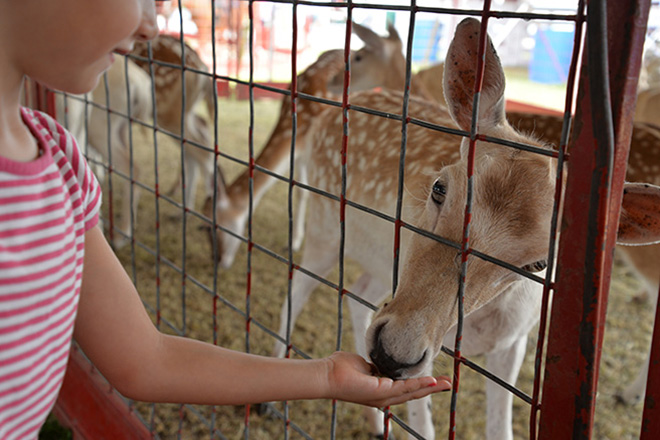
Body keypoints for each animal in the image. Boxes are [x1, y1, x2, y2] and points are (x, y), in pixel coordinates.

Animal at [268, 17, 660, 440]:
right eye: (440, 188)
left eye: (539, 264)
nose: (392, 353)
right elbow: (423, 426)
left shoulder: (514, 341)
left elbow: (500, 427)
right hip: (327, 222)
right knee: (298, 283)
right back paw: (273, 400)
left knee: (360, 295)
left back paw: (374, 420)